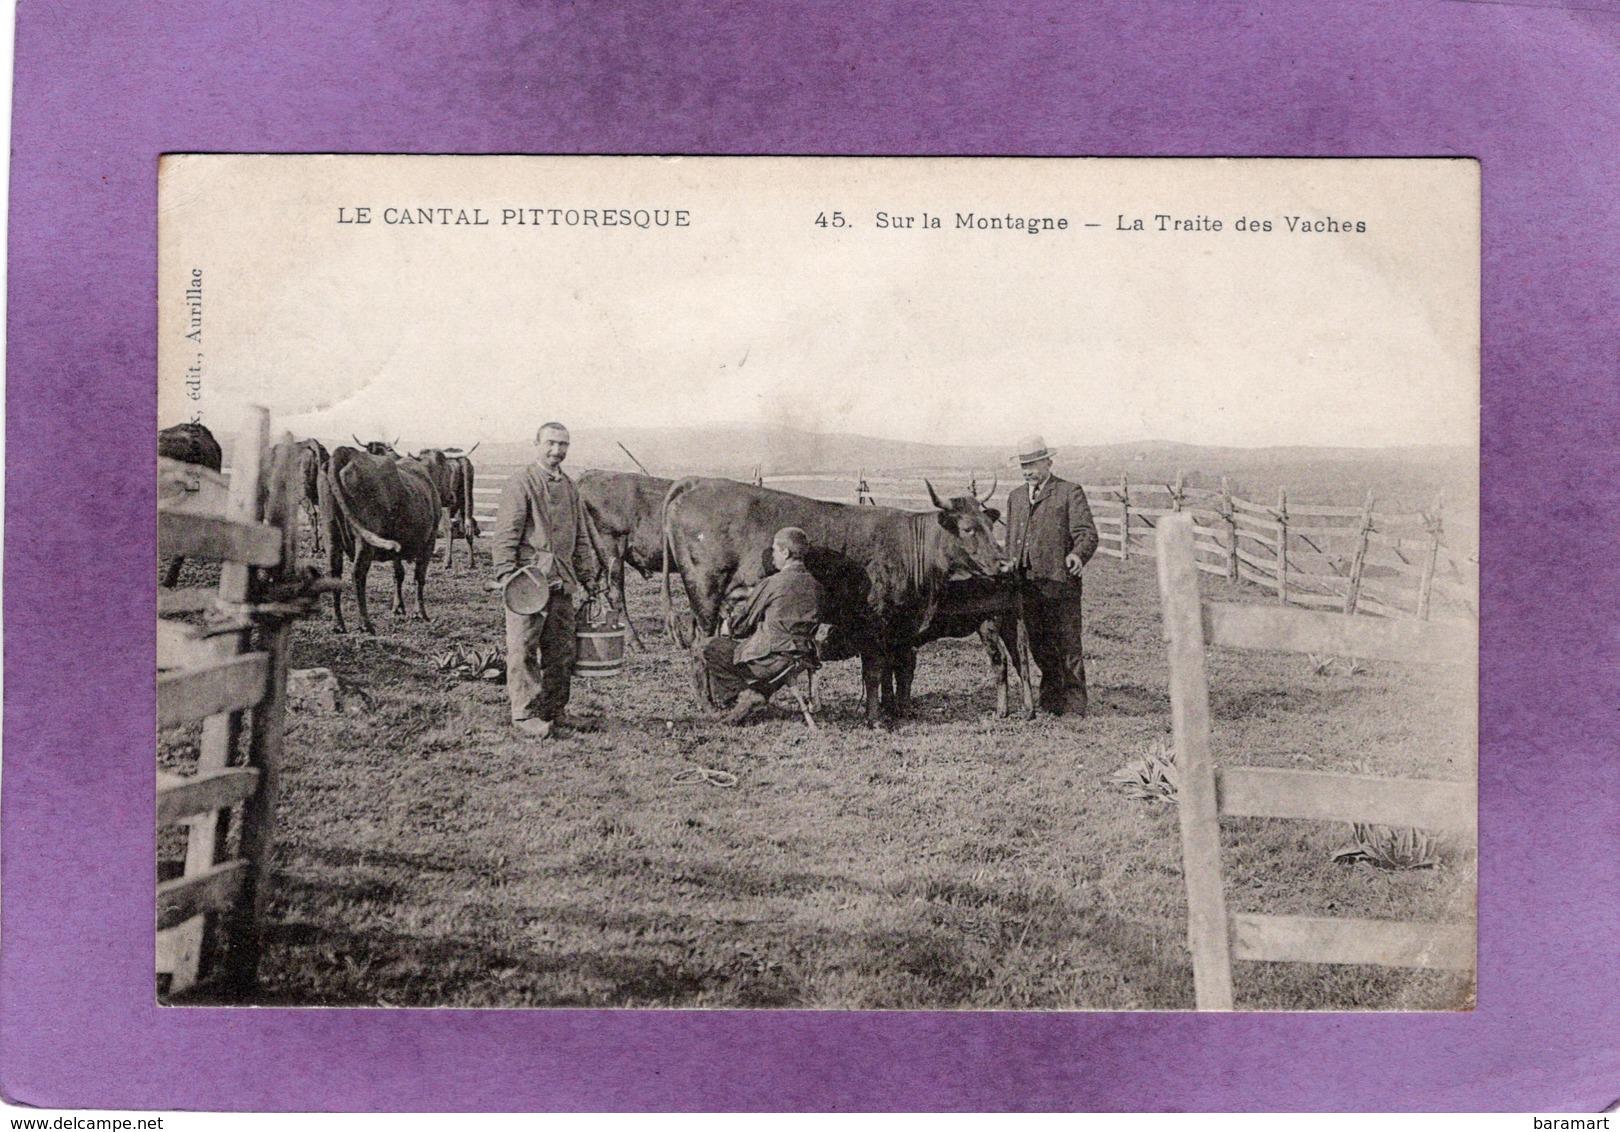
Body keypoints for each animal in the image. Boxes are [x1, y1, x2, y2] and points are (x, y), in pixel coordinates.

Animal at [320, 443, 440, 638]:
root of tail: (347, 452)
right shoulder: (429, 541)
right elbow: (419, 576)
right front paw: (419, 613)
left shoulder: (397, 548)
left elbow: (398, 574)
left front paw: (398, 608)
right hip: (365, 541)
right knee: (358, 574)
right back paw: (366, 624)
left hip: (330, 534)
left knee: (334, 573)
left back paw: (338, 624)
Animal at [664, 479, 1004, 725]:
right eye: (968, 529)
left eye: (990, 526)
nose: (1003, 563)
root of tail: (697, 483)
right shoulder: (873, 621)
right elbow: (874, 670)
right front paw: (875, 718)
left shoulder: (898, 625)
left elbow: (896, 667)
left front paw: (894, 709)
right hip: (704, 592)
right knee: (699, 648)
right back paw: (709, 706)